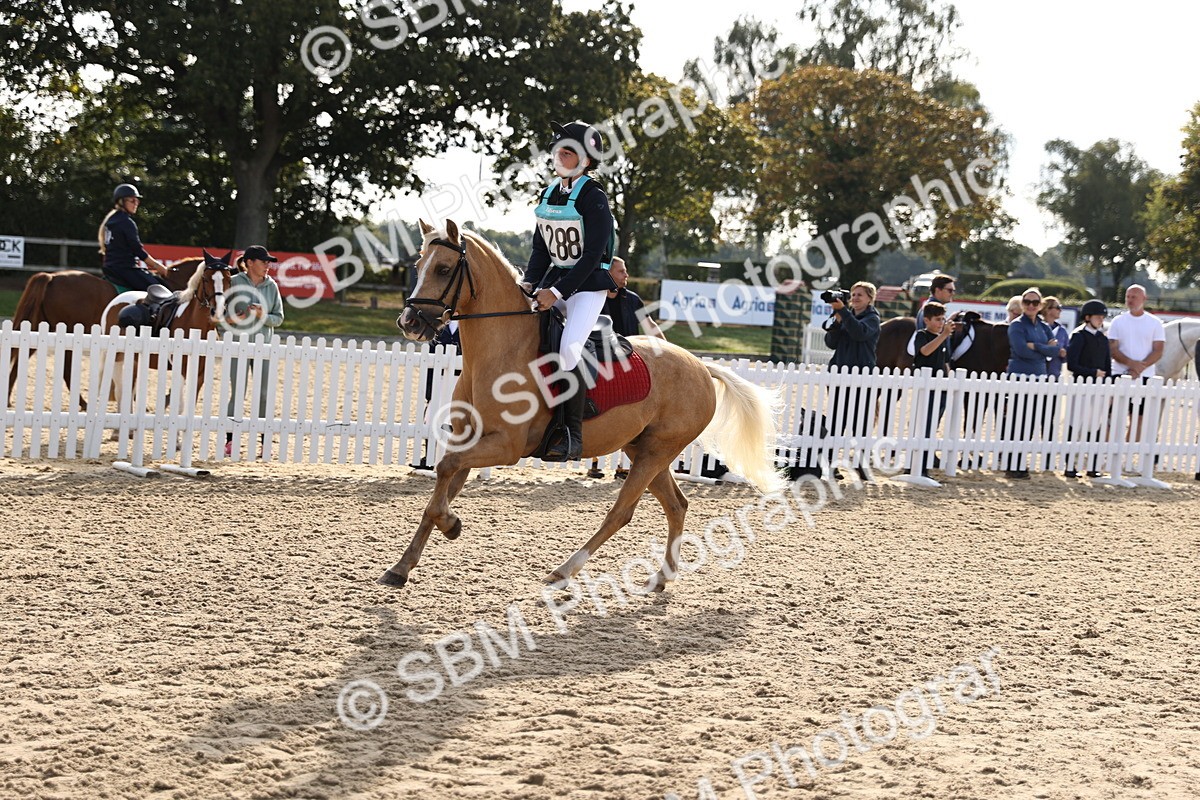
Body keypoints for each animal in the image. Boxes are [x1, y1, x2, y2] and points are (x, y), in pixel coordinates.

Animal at [383, 220, 782, 591]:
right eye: (418, 264)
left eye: (443, 269)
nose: (409, 322)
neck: (500, 352)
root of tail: (701, 366)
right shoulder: (469, 440)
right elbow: (440, 484)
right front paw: (403, 565)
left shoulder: (506, 446)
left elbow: (445, 470)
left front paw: (451, 525)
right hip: (643, 450)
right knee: (677, 505)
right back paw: (661, 577)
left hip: (656, 452)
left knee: (621, 513)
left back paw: (563, 571)